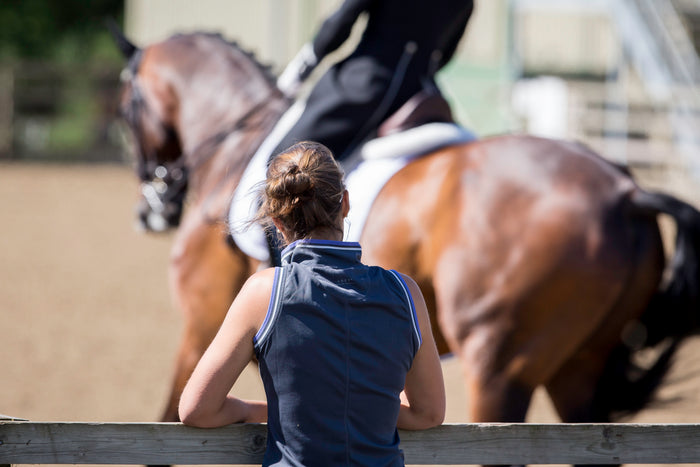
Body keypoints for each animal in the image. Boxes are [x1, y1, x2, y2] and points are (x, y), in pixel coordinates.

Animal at [111, 28, 700, 435]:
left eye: (125, 107)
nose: (151, 212)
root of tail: (624, 191)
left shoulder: (205, 321)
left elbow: (168, 418)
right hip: (579, 370)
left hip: (499, 369)